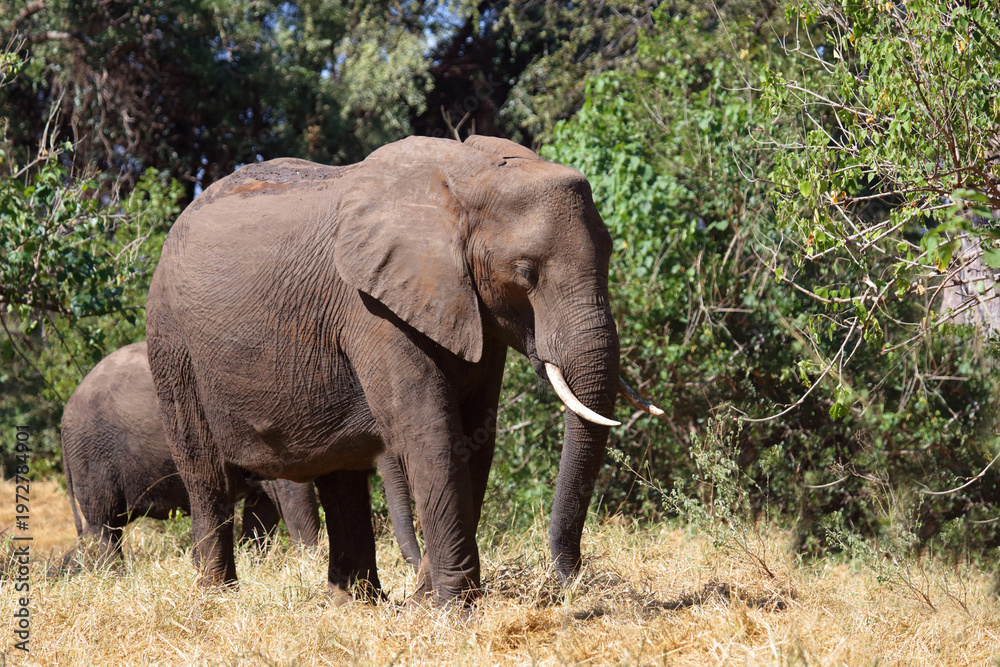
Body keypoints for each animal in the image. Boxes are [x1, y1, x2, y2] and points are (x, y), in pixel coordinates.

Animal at [145, 135, 661, 604]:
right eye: (525, 272)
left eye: (610, 254)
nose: (570, 581)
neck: (470, 176)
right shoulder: (371, 307)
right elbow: (431, 432)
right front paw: (454, 609)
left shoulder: (474, 308)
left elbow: (475, 435)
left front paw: (425, 600)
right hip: (172, 343)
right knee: (205, 473)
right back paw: (218, 598)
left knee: (341, 477)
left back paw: (355, 603)